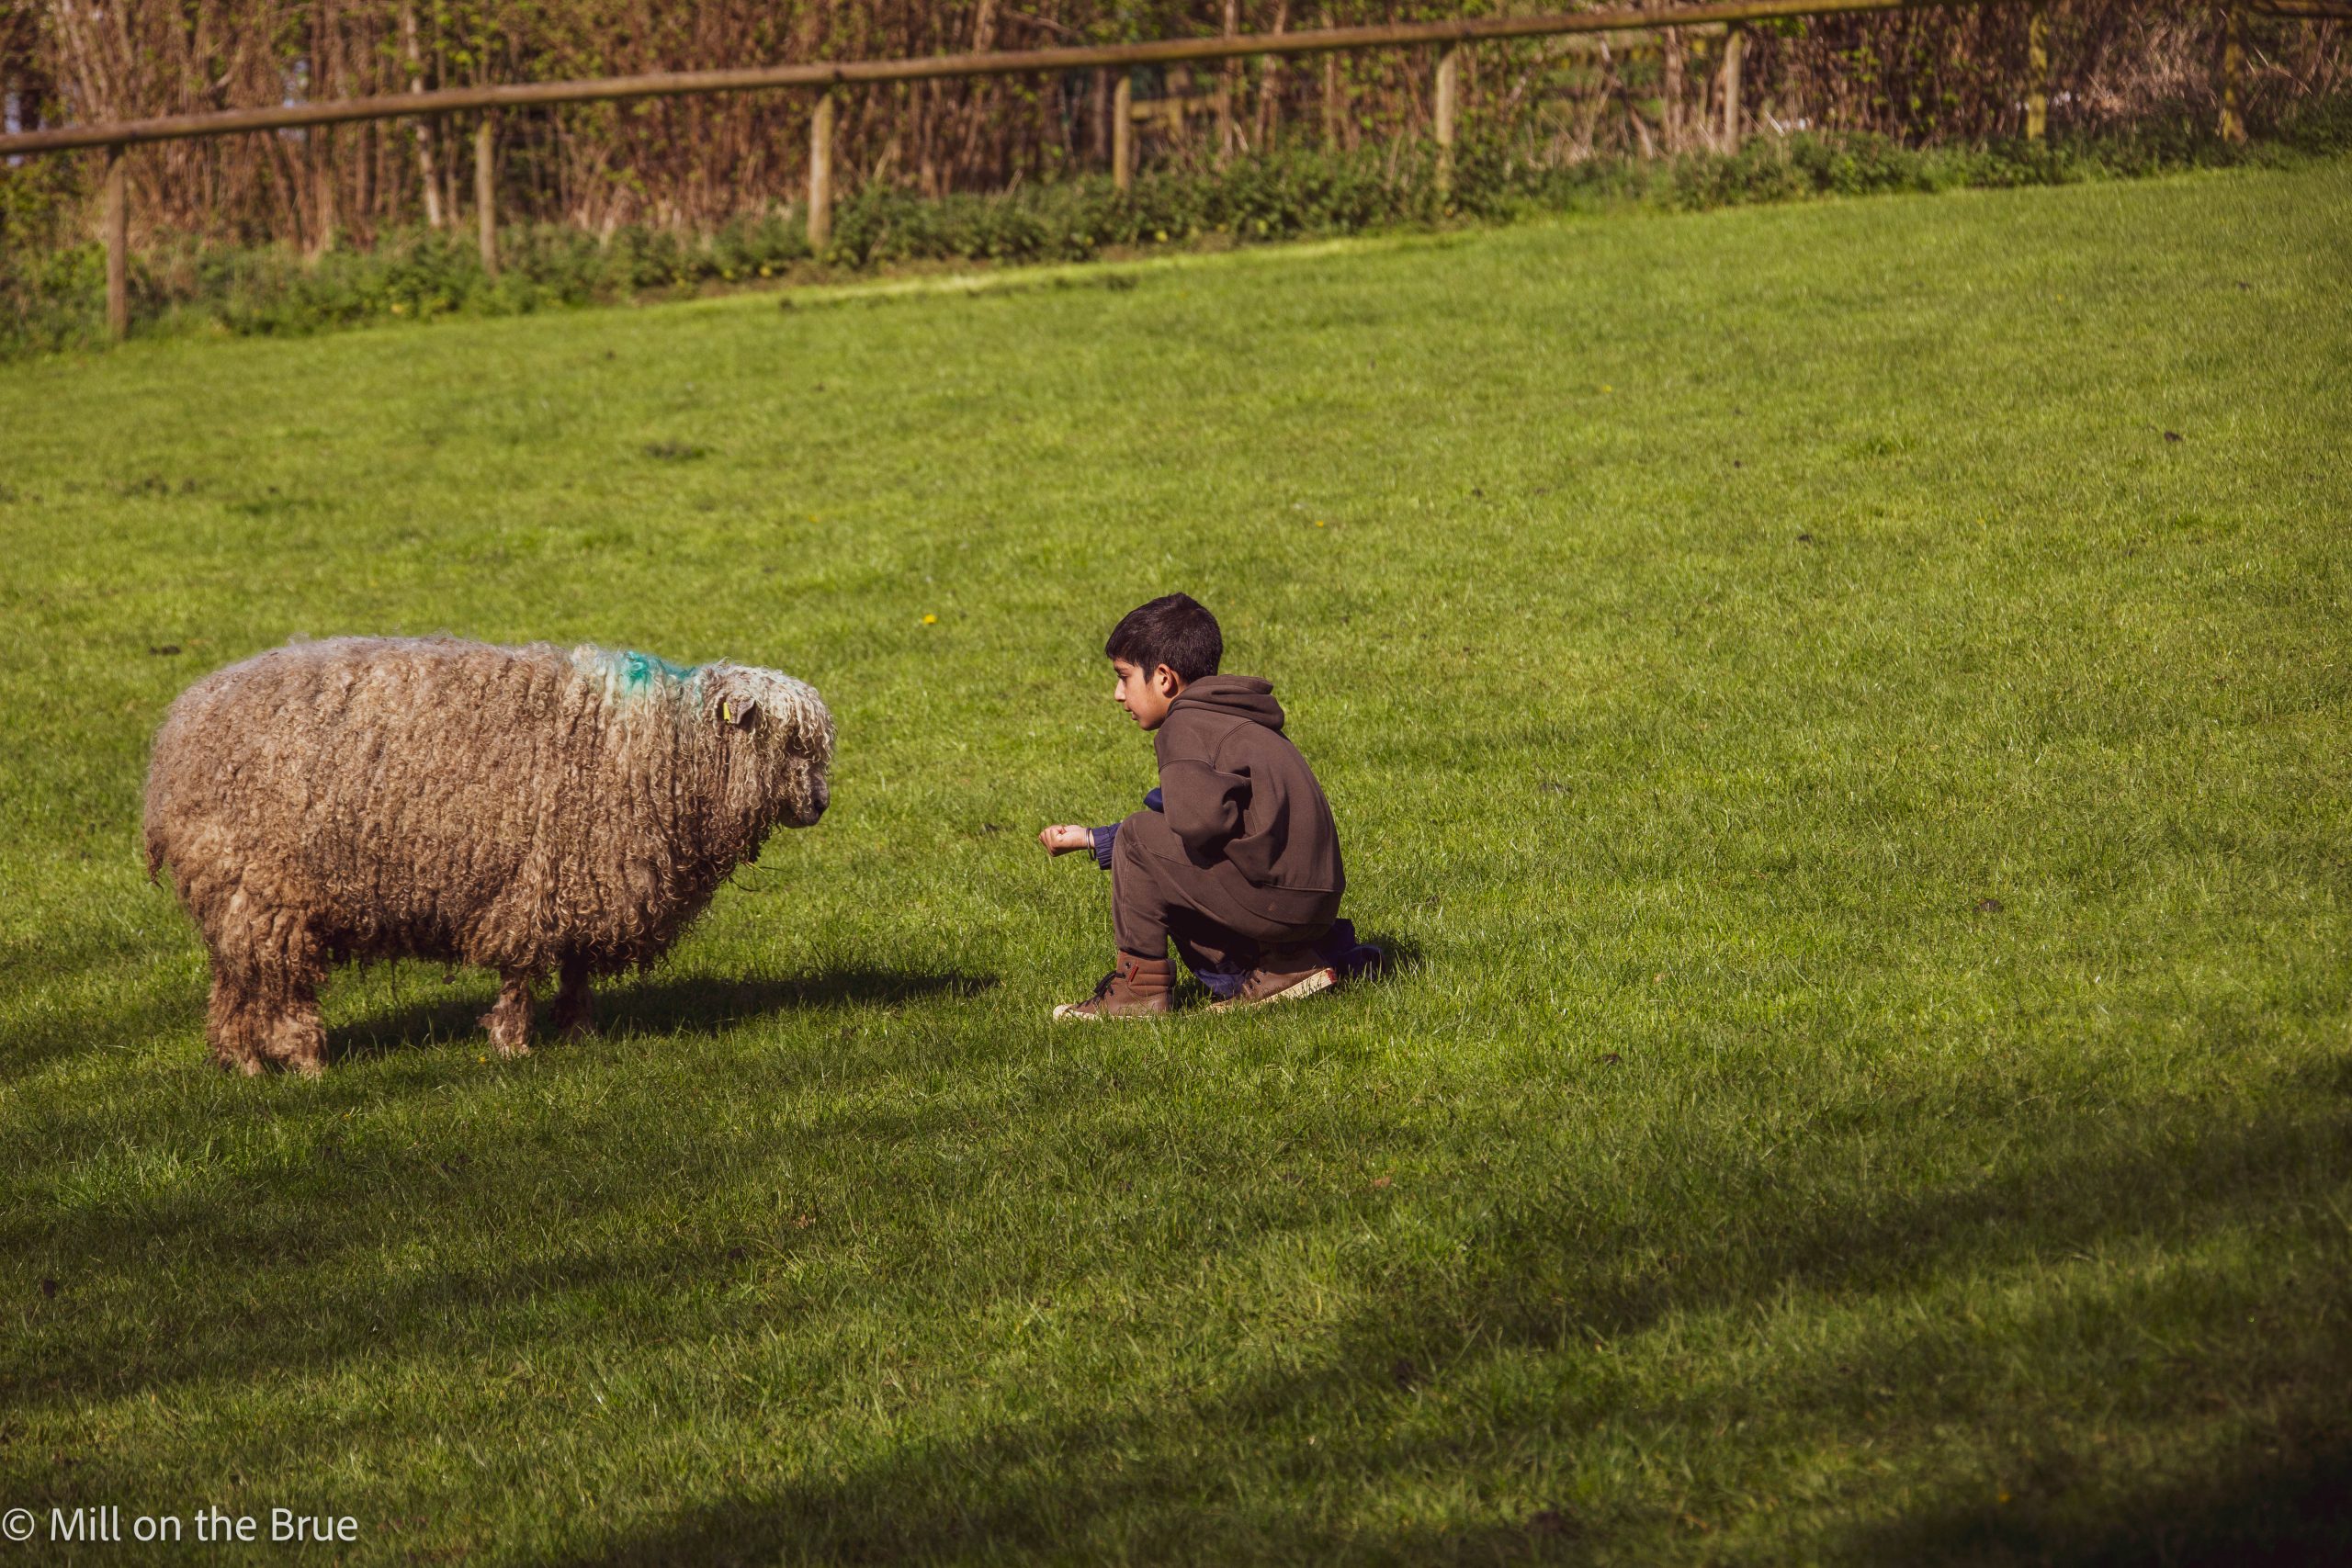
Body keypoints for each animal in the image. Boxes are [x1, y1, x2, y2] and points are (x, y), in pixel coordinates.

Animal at [143, 636, 833, 1075]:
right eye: (790, 742)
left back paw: (244, 1062)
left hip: (236, 893)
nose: (820, 805)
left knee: (236, 979)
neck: (662, 747)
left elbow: (576, 965)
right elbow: (522, 969)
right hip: (270, 888)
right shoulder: (539, 878)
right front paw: (514, 1044)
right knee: (283, 986)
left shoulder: (582, 881)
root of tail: (177, 732)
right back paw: (306, 1060)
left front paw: (578, 1031)